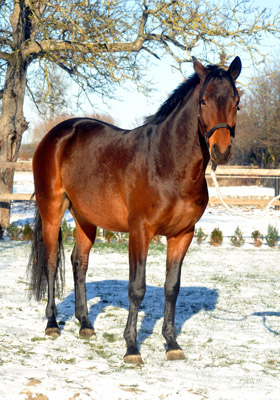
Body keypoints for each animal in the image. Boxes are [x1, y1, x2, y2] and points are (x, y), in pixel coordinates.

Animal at [29, 57, 242, 366]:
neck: (167, 162)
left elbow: (171, 288)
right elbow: (136, 288)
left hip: (86, 218)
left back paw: (85, 324)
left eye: (237, 102)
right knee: (51, 263)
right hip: (52, 212)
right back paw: (52, 324)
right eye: (203, 101)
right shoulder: (140, 232)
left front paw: (172, 344)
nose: (221, 150)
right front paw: (131, 347)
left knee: (79, 262)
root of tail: (56, 135)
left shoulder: (182, 235)